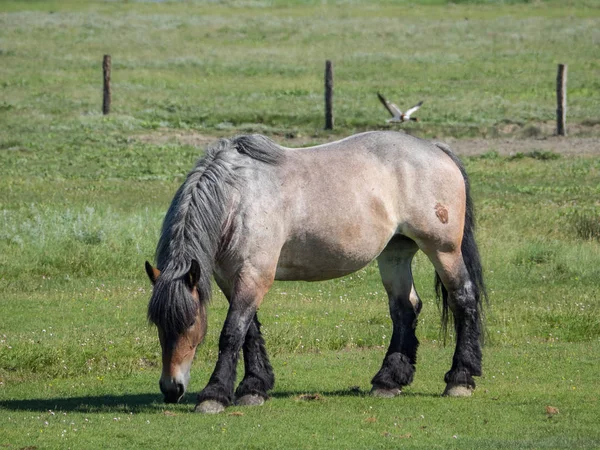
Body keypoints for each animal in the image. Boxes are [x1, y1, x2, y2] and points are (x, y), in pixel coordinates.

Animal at [145, 128, 488, 414]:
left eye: (191, 322)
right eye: (158, 324)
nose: (171, 388)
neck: (240, 197)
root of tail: (436, 149)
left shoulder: (254, 275)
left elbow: (232, 333)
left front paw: (214, 395)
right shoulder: (231, 278)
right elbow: (249, 331)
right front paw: (254, 388)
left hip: (443, 251)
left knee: (463, 299)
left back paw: (459, 379)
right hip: (395, 253)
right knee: (405, 309)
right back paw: (388, 380)